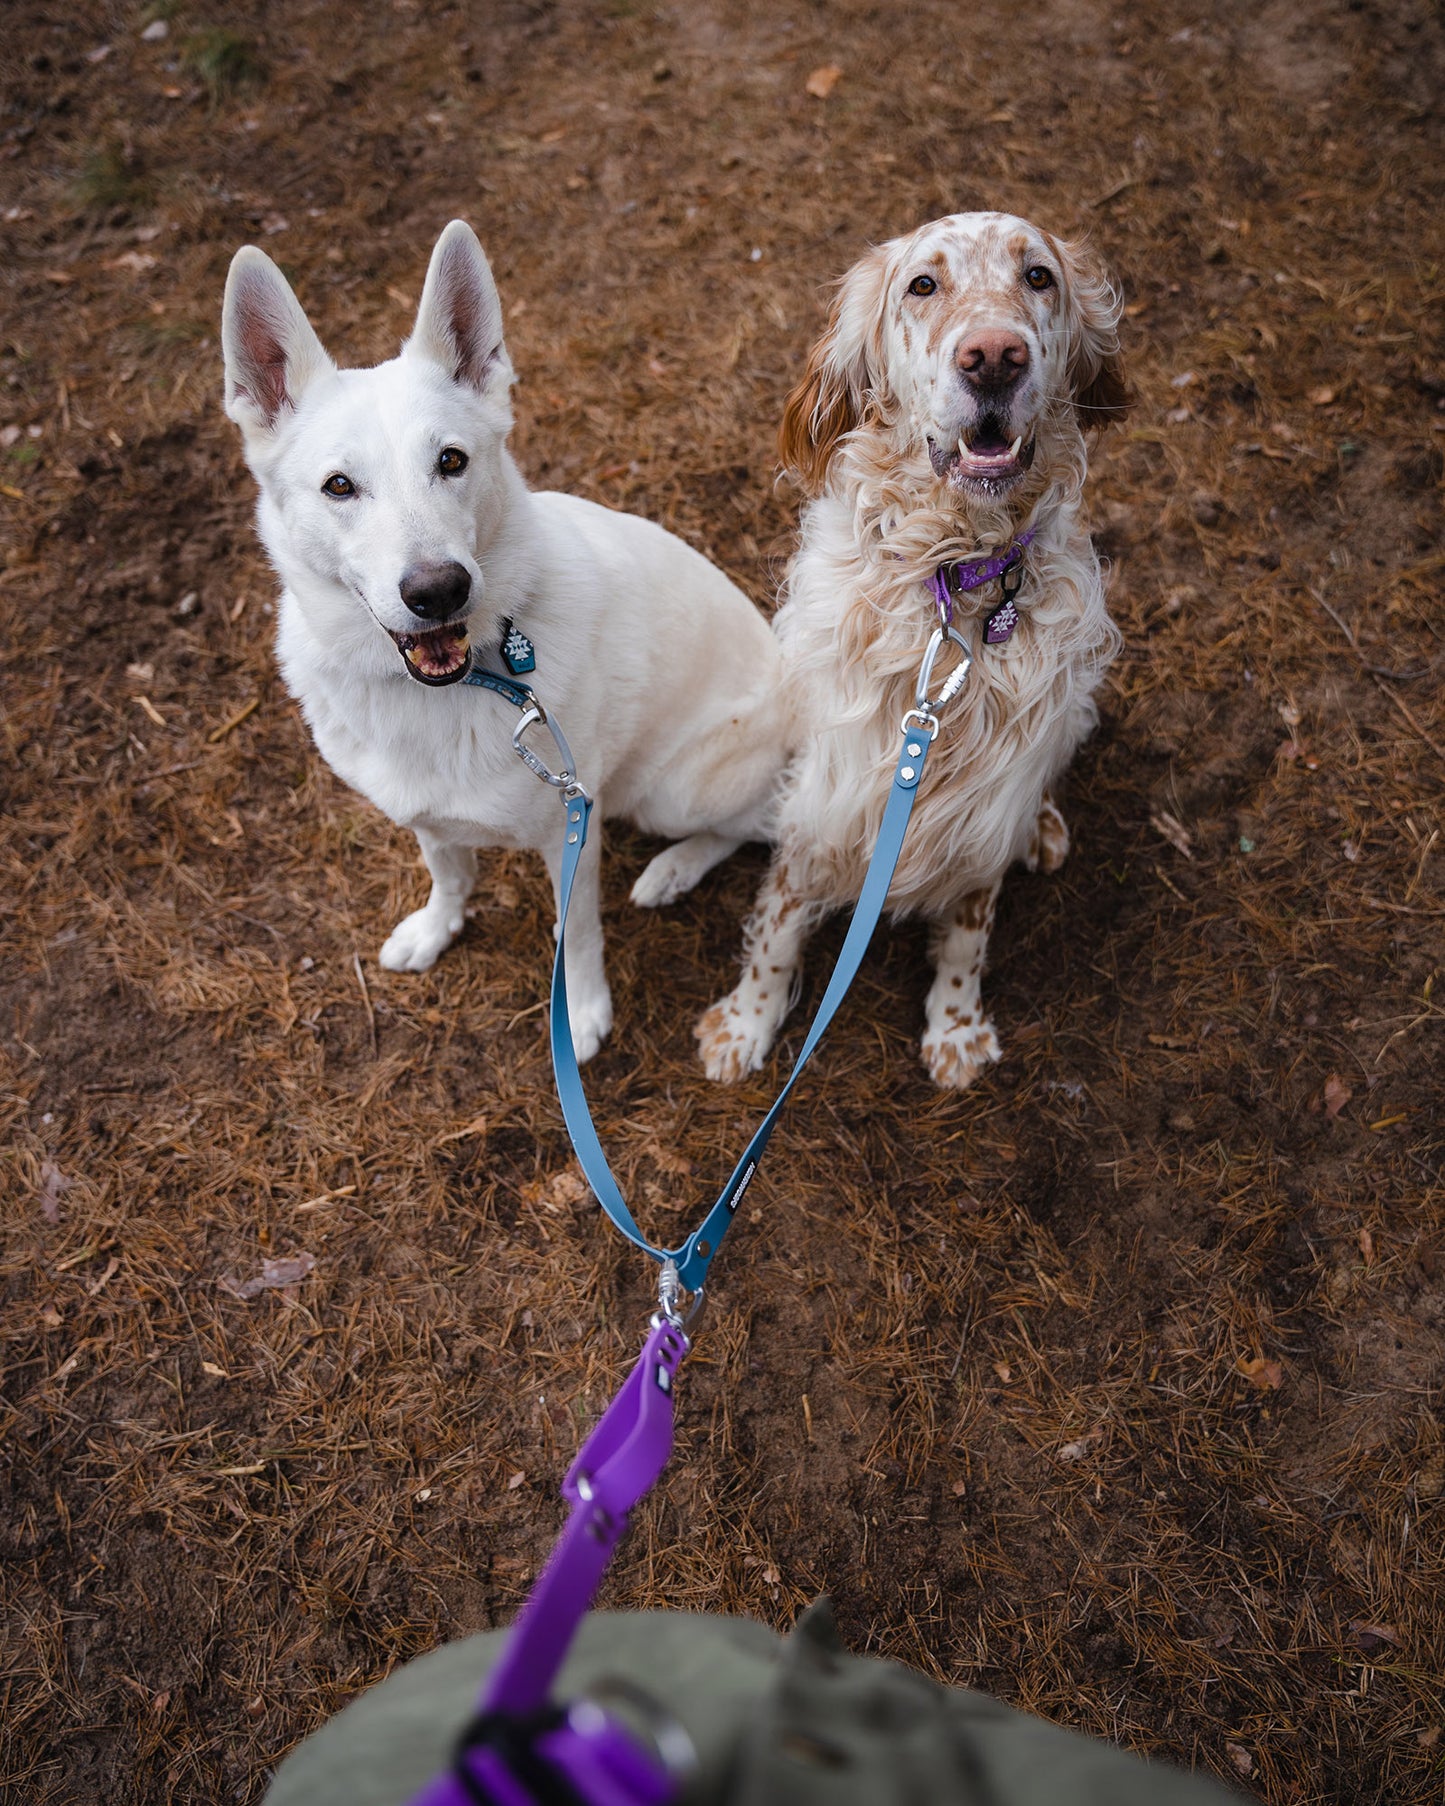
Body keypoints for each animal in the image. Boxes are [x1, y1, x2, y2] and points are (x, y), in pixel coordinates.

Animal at [223, 220, 783, 1054]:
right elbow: (449, 874)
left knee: (753, 827)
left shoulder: (571, 829)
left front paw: (579, 1013)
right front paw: (436, 930)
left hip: (673, 790)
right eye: (339, 486)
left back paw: (674, 869)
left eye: (450, 461)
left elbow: (575, 933)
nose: (438, 590)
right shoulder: (428, 818)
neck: (471, 679)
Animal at [689, 211, 1127, 1083]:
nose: (993, 356)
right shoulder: (827, 791)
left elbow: (968, 925)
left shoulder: (986, 806)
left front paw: (954, 1027)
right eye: (922, 285)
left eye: (1037, 277)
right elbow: (781, 919)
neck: (952, 575)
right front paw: (747, 1022)